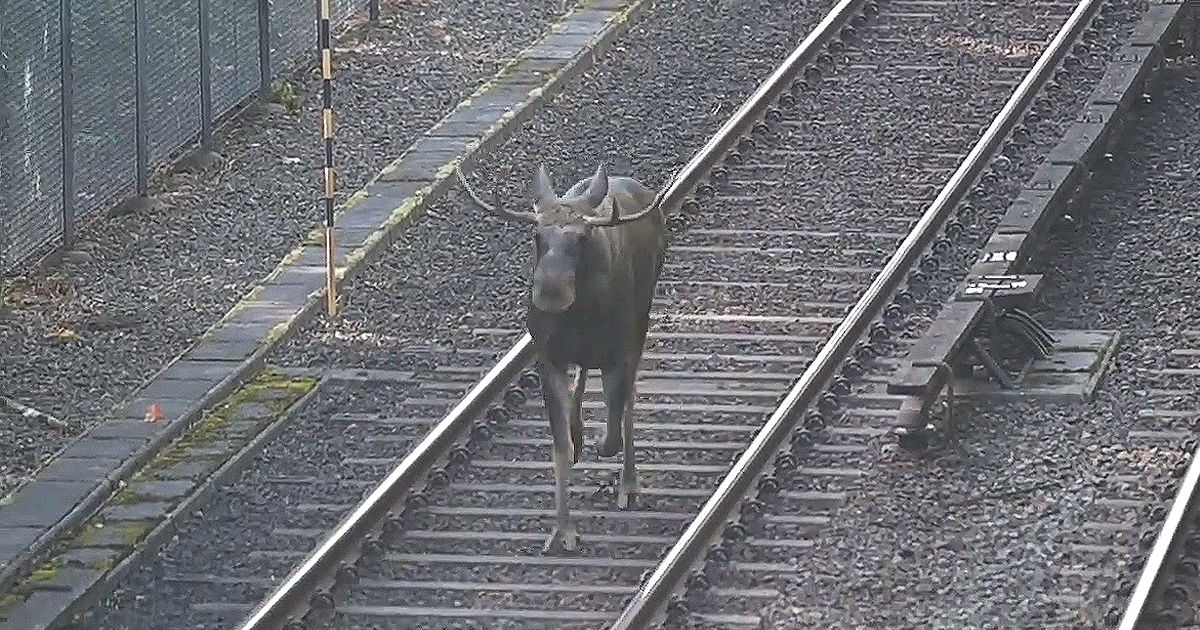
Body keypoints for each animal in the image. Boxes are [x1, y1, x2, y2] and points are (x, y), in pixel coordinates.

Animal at [456, 162, 668, 553]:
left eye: (582, 238)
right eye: (537, 236)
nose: (551, 291)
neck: (578, 318)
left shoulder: (617, 353)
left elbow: (613, 431)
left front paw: (601, 445)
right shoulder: (548, 359)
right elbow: (559, 447)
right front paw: (562, 528)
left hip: (640, 321)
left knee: (627, 402)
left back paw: (627, 481)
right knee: (584, 380)